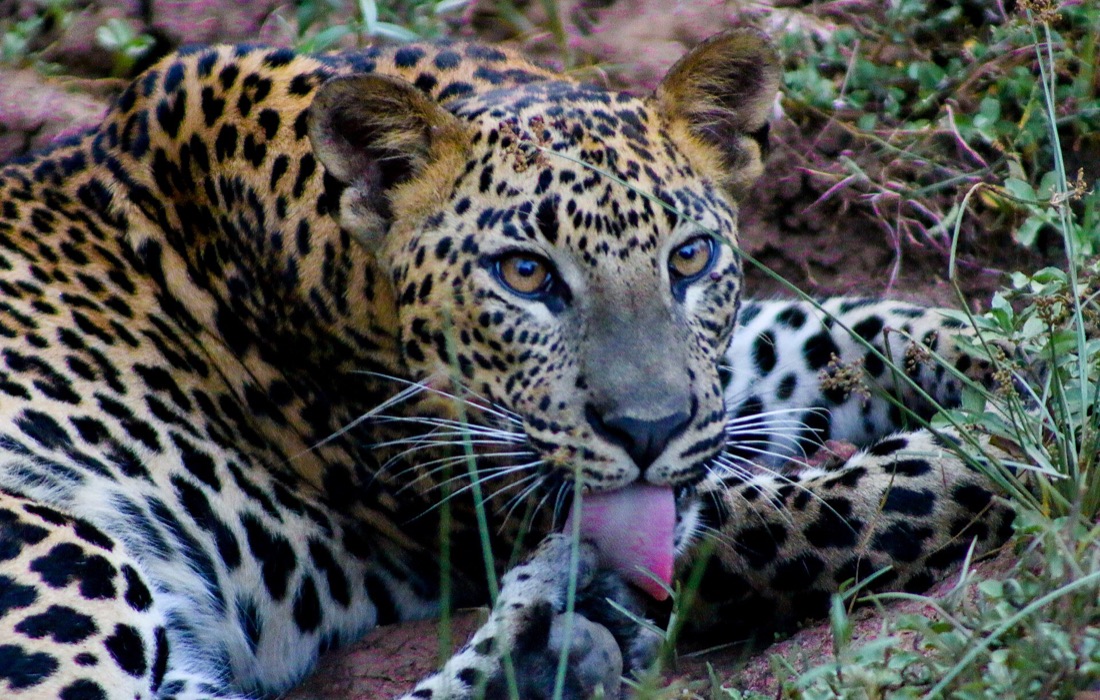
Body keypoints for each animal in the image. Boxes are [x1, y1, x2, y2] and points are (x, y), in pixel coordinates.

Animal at [0, 29, 1014, 700]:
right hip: (66, 547)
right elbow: (854, 498)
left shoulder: (716, 390)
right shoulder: (495, 496)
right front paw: (986, 453)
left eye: (689, 259)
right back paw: (550, 634)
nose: (647, 432)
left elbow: (830, 331)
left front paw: (1019, 358)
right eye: (524, 274)